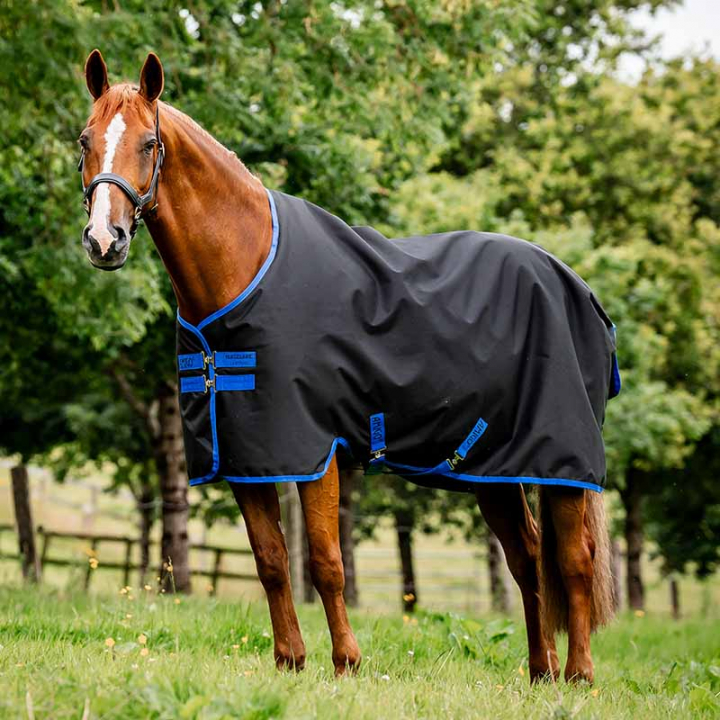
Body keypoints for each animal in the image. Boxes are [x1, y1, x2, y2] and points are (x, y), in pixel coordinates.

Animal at [77, 50, 616, 683]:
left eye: (149, 143)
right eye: (84, 141)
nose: (103, 240)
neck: (247, 264)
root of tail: (577, 286)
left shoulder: (317, 450)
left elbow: (326, 560)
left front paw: (346, 663)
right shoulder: (245, 454)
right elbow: (271, 560)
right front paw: (290, 660)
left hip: (562, 463)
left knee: (574, 559)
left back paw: (578, 676)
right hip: (494, 470)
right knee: (528, 558)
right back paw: (540, 671)